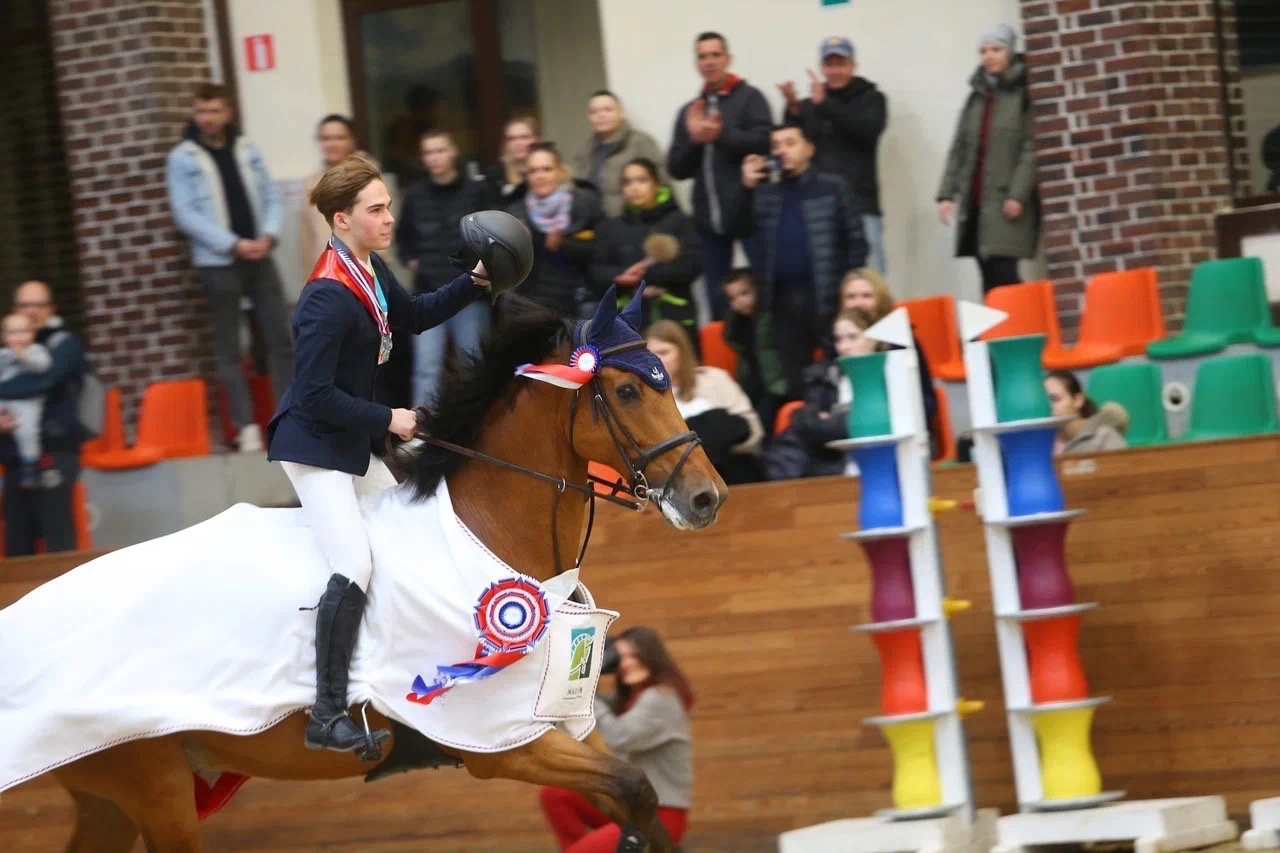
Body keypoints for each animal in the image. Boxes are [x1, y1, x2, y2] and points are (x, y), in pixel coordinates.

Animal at [7, 286, 732, 850]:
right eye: (629, 390)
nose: (707, 498)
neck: (488, 536)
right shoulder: (501, 742)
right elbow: (633, 785)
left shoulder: (548, 723)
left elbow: (636, 795)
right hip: (152, 787)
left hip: (111, 796)